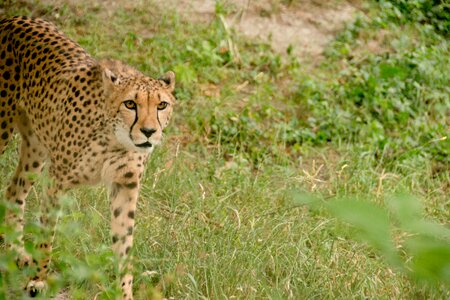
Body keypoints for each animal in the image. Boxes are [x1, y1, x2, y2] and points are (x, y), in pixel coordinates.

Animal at [0, 17, 176, 300]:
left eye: (162, 105)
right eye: (130, 104)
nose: (149, 132)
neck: (114, 139)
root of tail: (14, 18)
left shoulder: (125, 185)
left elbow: (124, 244)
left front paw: (125, 292)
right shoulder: (57, 180)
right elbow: (47, 233)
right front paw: (38, 280)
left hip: (36, 145)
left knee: (14, 190)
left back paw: (18, 252)